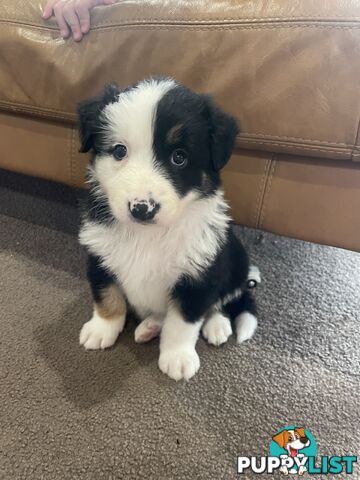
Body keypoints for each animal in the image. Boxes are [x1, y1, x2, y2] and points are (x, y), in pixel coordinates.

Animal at [78, 77, 258, 380]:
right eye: (119, 151)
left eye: (179, 157)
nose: (141, 208)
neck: (148, 236)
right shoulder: (100, 254)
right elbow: (107, 297)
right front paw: (101, 329)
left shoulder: (199, 274)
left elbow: (183, 322)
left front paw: (178, 358)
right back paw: (149, 327)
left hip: (235, 260)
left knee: (222, 301)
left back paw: (216, 325)